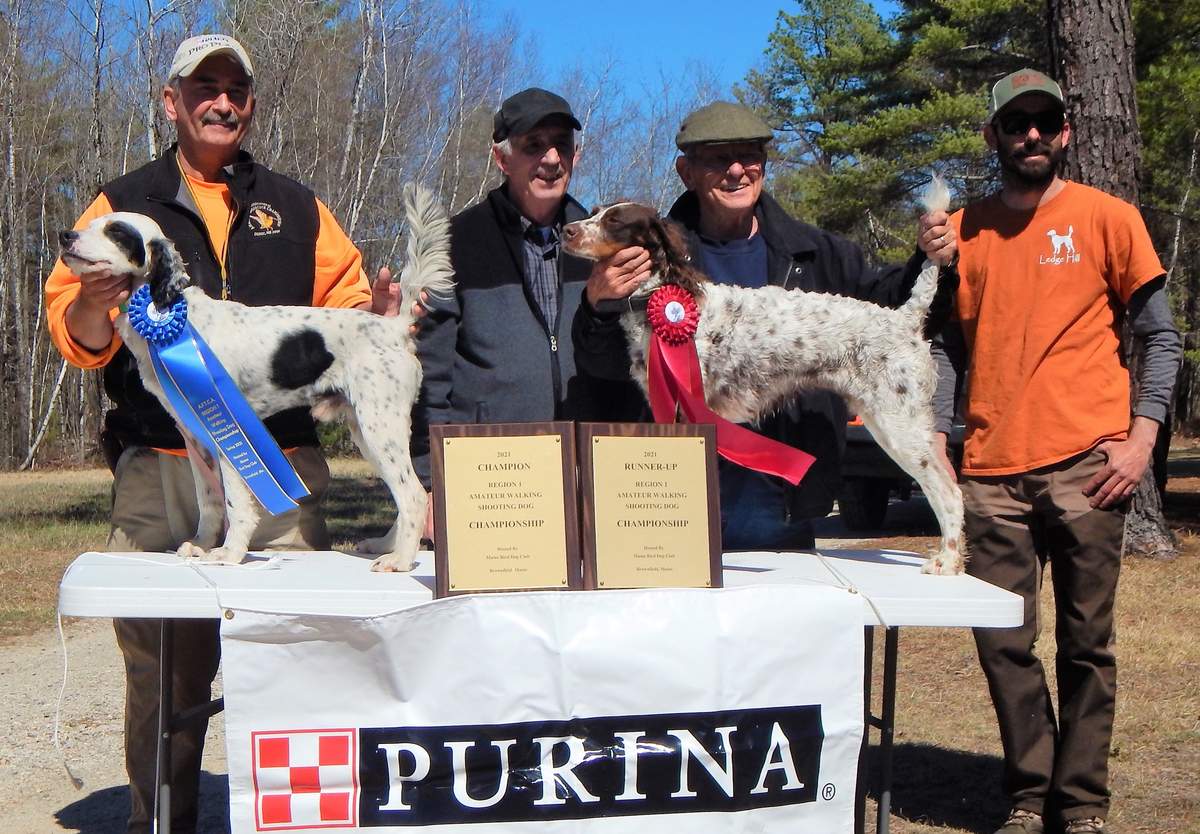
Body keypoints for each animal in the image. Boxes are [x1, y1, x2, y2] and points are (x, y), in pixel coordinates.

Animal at [56, 183, 451, 573]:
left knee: (413, 494)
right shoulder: (195, 437)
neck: (175, 317)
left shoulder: (228, 431)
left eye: (116, 232)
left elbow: (236, 504)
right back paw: (385, 546)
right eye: (95, 224)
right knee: (403, 494)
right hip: (367, 431)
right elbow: (209, 500)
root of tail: (394, 327)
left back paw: (399, 560)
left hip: (379, 427)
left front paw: (229, 553)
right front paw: (201, 545)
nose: (65, 235)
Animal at [561, 184, 964, 573]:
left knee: (949, 491)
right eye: (594, 212)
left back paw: (947, 560)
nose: (567, 231)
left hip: (899, 425)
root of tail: (904, 319)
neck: (664, 297)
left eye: (614, 221)